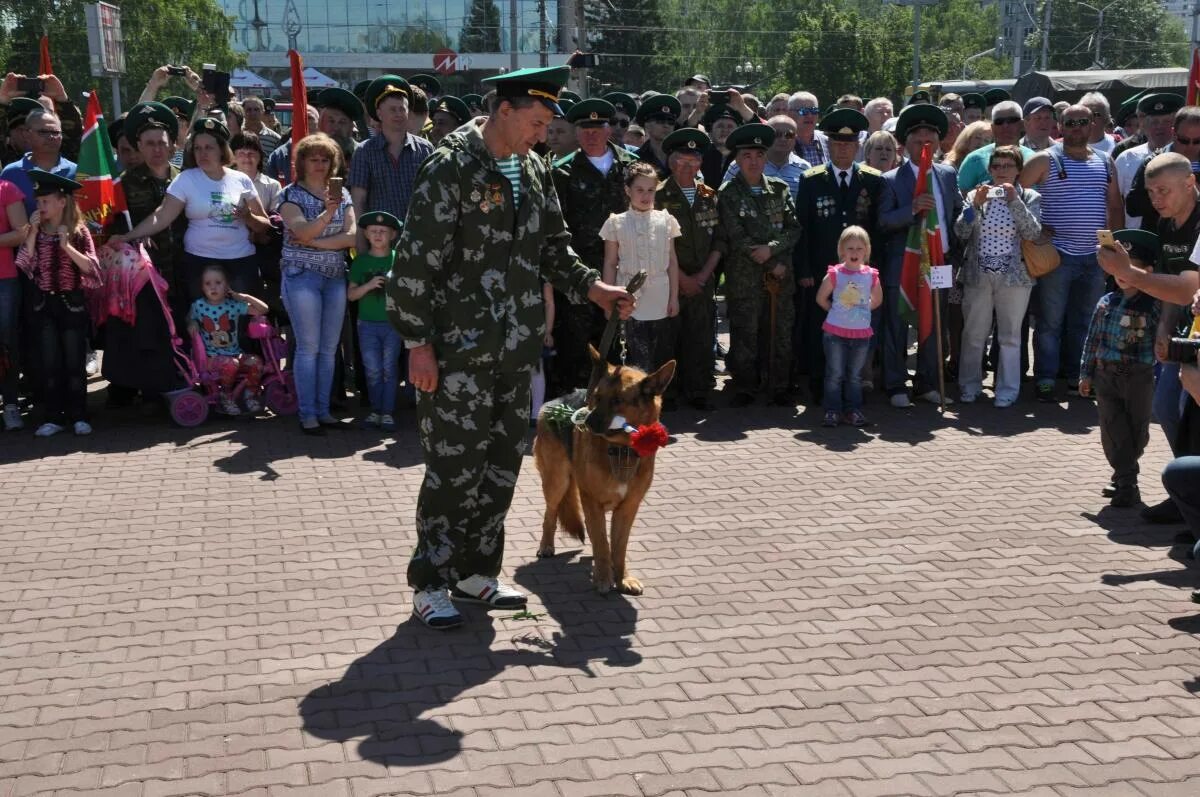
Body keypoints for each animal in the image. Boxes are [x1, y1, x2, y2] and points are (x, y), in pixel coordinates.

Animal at [535, 345, 676, 595]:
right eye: (597, 398)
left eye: (618, 400)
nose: (587, 423)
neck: (621, 450)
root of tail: (553, 402)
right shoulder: (592, 503)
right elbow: (601, 543)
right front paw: (602, 578)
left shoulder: (628, 508)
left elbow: (618, 548)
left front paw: (622, 578)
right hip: (557, 482)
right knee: (550, 513)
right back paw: (546, 545)